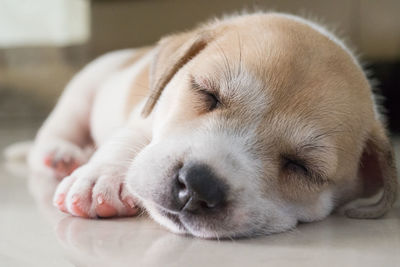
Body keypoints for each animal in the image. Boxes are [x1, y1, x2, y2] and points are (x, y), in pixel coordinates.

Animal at [25, 12, 396, 239]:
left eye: (302, 167)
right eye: (207, 93)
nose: (197, 186)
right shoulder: (146, 117)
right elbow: (129, 141)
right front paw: (100, 178)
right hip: (81, 93)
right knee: (52, 133)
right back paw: (62, 154)